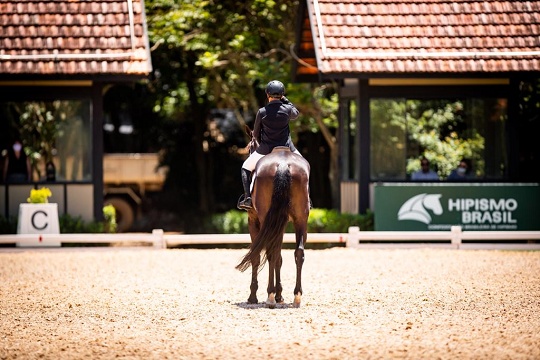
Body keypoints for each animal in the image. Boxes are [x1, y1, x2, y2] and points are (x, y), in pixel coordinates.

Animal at [234, 125, 310, 308]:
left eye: (249, 147)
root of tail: (282, 164)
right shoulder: (280, 223)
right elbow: (279, 257)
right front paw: (279, 295)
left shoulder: (253, 220)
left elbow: (256, 255)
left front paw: (253, 296)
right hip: (301, 219)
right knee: (298, 253)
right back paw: (296, 296)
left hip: (265, 219)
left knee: (269, 253)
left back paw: (269, 296)